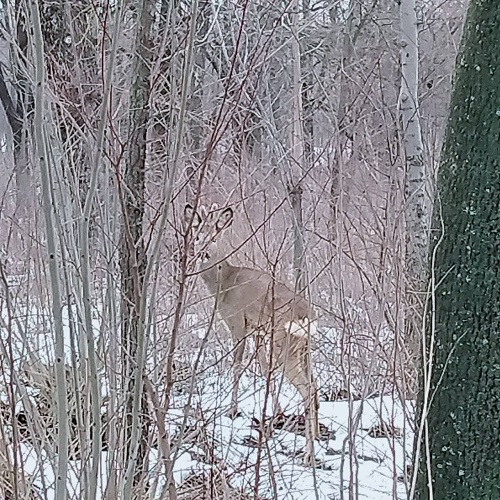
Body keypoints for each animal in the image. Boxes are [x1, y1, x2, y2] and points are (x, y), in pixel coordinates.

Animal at [184, 202, 320, 464]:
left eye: (215, 236)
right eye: (197, 236)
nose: (203, 252)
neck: (224, 284)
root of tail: (305, 315)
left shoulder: (238, 322)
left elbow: (237, 365)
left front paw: (232, 410)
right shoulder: (258, 330)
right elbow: (263, 367)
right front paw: (277, 412)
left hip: (285, 345)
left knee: (307, 389)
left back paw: (308, 454)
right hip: (303, 349)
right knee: (314, 384)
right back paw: (317, 435)